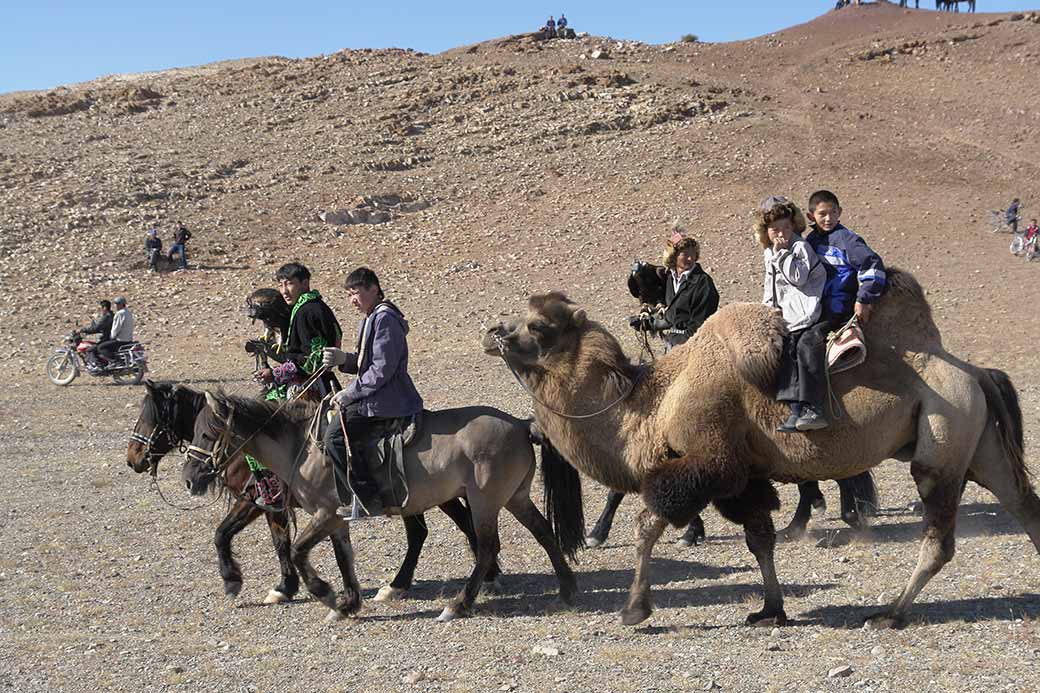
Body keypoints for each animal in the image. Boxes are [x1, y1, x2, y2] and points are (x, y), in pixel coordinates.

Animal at [126, 380, 503, 604]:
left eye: (150, 417)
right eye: (195, 431)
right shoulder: (270, 504)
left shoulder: (258, 500)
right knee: (433, 531)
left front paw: (247, 582)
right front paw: (286, 586)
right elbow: (271, 541)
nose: (133, 458)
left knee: (447, 529)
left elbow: (235, 536)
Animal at [185, 391, 584, 621]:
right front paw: (347, 603)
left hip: (484, 501)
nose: (190, 478)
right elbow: (344, 558)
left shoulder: (324, 513)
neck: (304, 447)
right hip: (515, 497)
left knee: (486, 548)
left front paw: (326, 595)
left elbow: (298, 552)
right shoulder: (336, 519)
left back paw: (458, 604)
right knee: (543, 533)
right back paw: (566, 590)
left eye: (207, 433)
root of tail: (519, 424)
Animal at [482, 269, 1040, 628]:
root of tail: (974, 373)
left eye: (539, 326)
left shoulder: (707, 462)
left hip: (941, 444)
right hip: (978, 443)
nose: (491, 332)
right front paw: (770, 609)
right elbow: (760, 539)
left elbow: (648, 524)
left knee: (941, 539)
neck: (653, 402)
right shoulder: (745, 476)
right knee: (1023, 503)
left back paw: (889, 613)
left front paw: (635, 609)